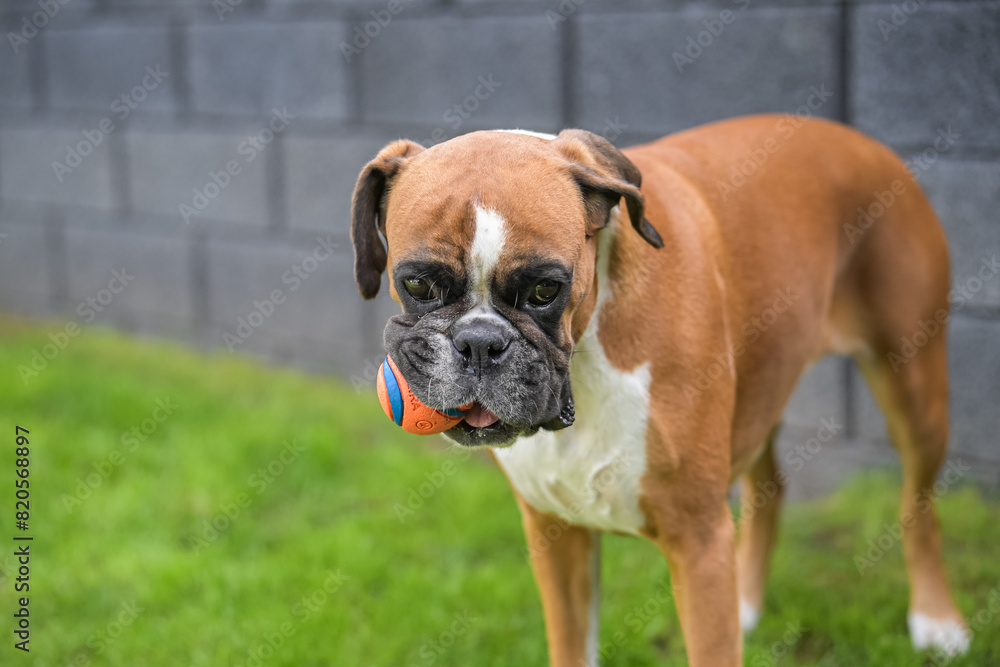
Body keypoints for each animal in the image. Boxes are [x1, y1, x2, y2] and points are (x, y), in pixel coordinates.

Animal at [350, 117, 968, 664]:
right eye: (416, 283)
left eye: (547, 289)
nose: (480, 343)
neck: (587, 349)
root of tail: (858, 139)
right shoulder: (557, 536)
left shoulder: (698, 543)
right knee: (770, 484)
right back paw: (748, 599)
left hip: (914, 388)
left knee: (919, 503)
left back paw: (937, 620)